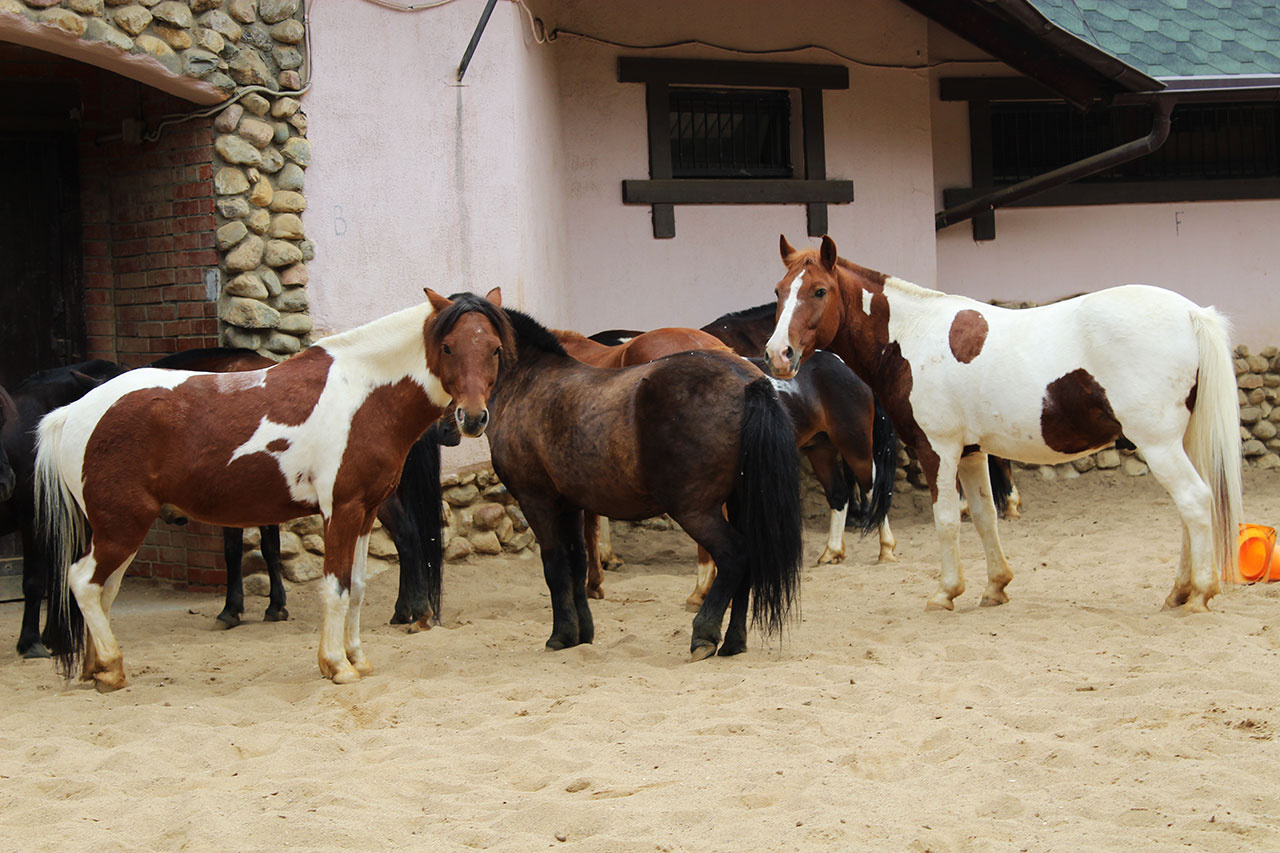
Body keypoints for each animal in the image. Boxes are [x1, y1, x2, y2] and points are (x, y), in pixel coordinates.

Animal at [35, 289, 514, 689]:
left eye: (493, 348)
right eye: (448, 347)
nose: (471, 419)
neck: (361, 392)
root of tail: (74, 410)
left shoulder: (364, 512)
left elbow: (357, 586)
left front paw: (357, 659)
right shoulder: (340, 511)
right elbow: (336, 587)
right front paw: (336, 666)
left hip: (115, 529)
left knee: (103, 590)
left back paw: (97, 669)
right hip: (122, 525)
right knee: (84, 583)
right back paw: (112, 668)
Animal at [485, 296, 803, 660]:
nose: (465, 419)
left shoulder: (545, 498)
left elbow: (570, 552)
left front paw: (581, 606)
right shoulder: (572, 496)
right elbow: (579, 550)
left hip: (693, 508)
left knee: (734, 555)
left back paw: (704, 627)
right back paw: (731, 638)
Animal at [763, 234, 1243, 612]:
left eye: (819, 291)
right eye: (780, 291)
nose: (778, 355)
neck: (914, 336)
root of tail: (1191, 313)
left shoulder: (938, 449)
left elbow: (946, 519)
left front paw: (945, 592)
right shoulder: (973, 453)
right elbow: (983, 516)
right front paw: (995, 587)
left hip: (1158, 444)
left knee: (1195, 501)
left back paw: (1201, 593)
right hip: (1178, 443)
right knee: (1188, 511)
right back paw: (1179, 591)